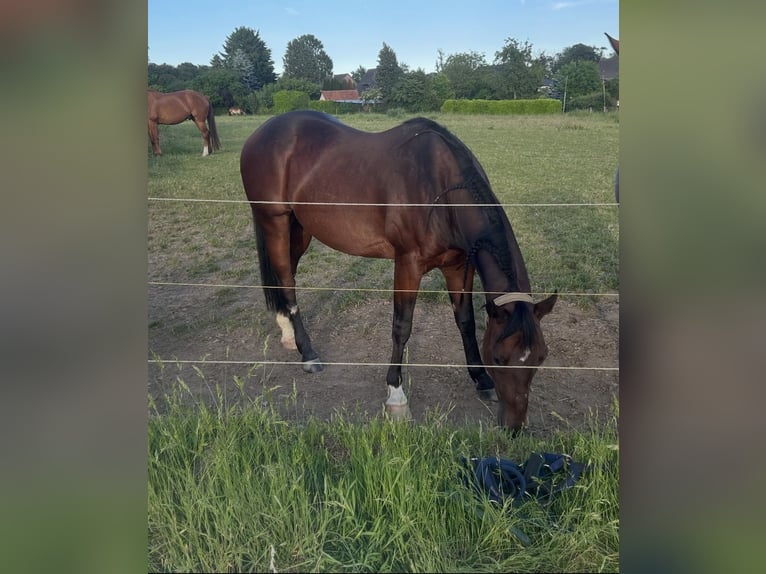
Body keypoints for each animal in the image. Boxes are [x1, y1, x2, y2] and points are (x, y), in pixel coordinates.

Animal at [240, 111, 557, 432]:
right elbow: (401, 327)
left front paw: (481, 379)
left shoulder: (457, 265)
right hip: (275, 222)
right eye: (499, 357)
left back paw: (287, 333)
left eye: (541, 357)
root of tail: (263, 132)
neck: (440, 190)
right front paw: (396, 395)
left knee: (285, 275)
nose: (514, 426)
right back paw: (308, 353)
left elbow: (465, 321)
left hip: (300, 228)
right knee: (286, 281)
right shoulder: (408, 264)